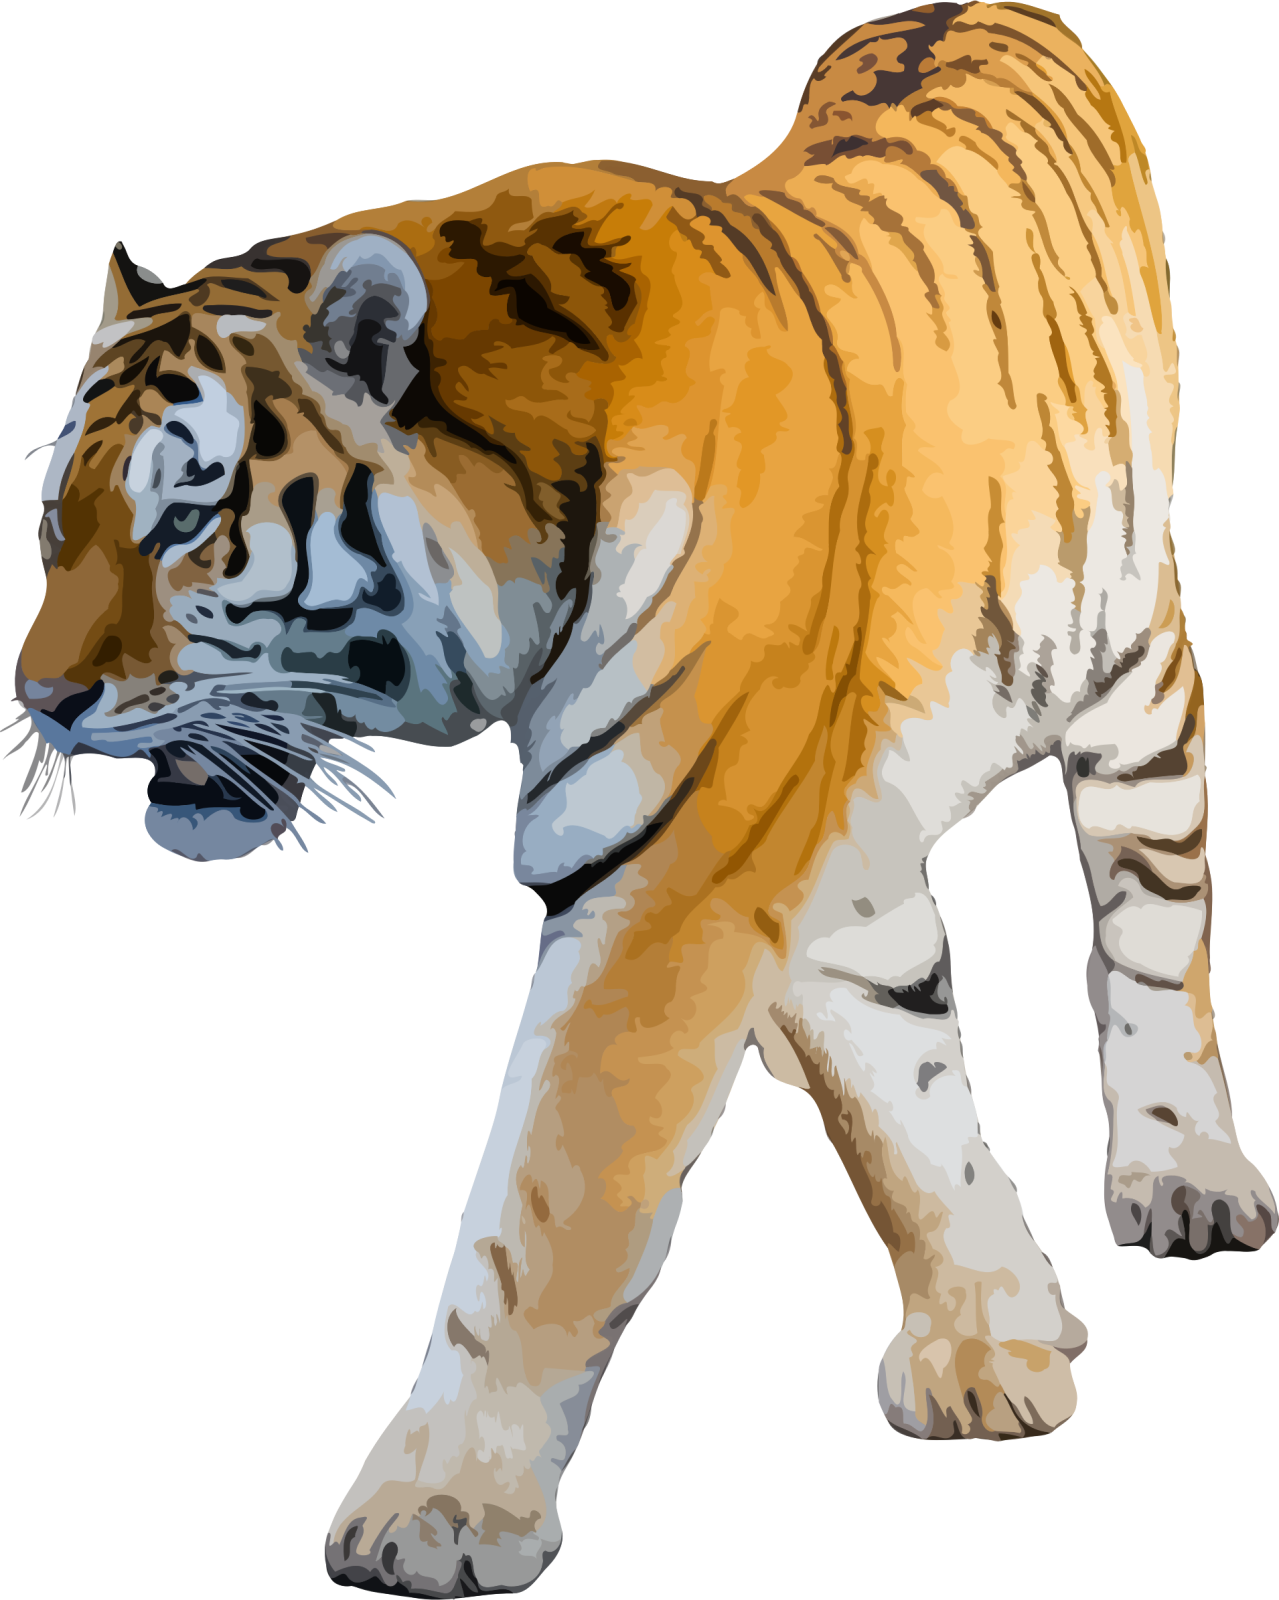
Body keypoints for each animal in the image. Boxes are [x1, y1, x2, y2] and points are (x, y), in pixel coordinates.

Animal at [12, 0, 1274, 1591]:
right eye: (55, 521)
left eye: (186, 517)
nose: (37, 703)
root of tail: (988, 1)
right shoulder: (795, 854)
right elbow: (902, 1106)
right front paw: (991, 1336)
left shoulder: (667, 881)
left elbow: (539, 1207)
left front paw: (438, 1507)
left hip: (1130, 666)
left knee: (1152, 926)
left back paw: (1184, 1176)